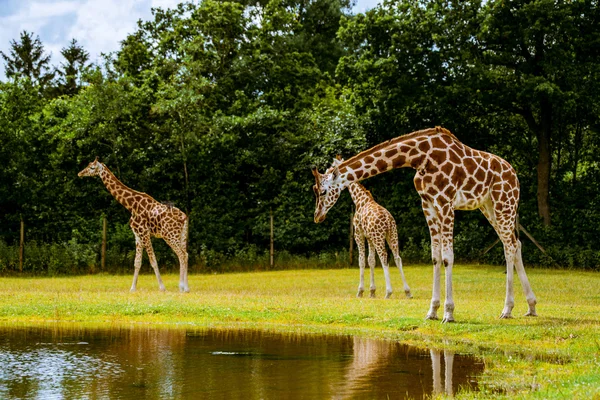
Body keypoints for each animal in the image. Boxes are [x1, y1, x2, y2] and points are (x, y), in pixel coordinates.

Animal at [78, 158, 189, 292]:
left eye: (92, 168)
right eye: (88, 165)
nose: (80, 173)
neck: (131, 205)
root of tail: (184, 218)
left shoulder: (144, 233)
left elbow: (153, 260)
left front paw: (162, 288)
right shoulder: (137, 235)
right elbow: (137, 262)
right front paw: (132, 288)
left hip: (170, 236)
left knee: (181, 255)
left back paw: (181, 287)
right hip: (181, 235)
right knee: (185, 254)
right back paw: (186, 288)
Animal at [326, 158, 410, 298]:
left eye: (331, 168)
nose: (326, 174)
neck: (359, 199)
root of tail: (388, 220)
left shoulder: (358, 234)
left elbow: (361, 260)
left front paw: (360, 291)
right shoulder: (369, 237)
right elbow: (371, 260)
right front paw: (372, 292)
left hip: (379, 237)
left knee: (384, 258)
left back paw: (388, 292)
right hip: (392, 235)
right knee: (397, 258)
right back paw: (408, 292)